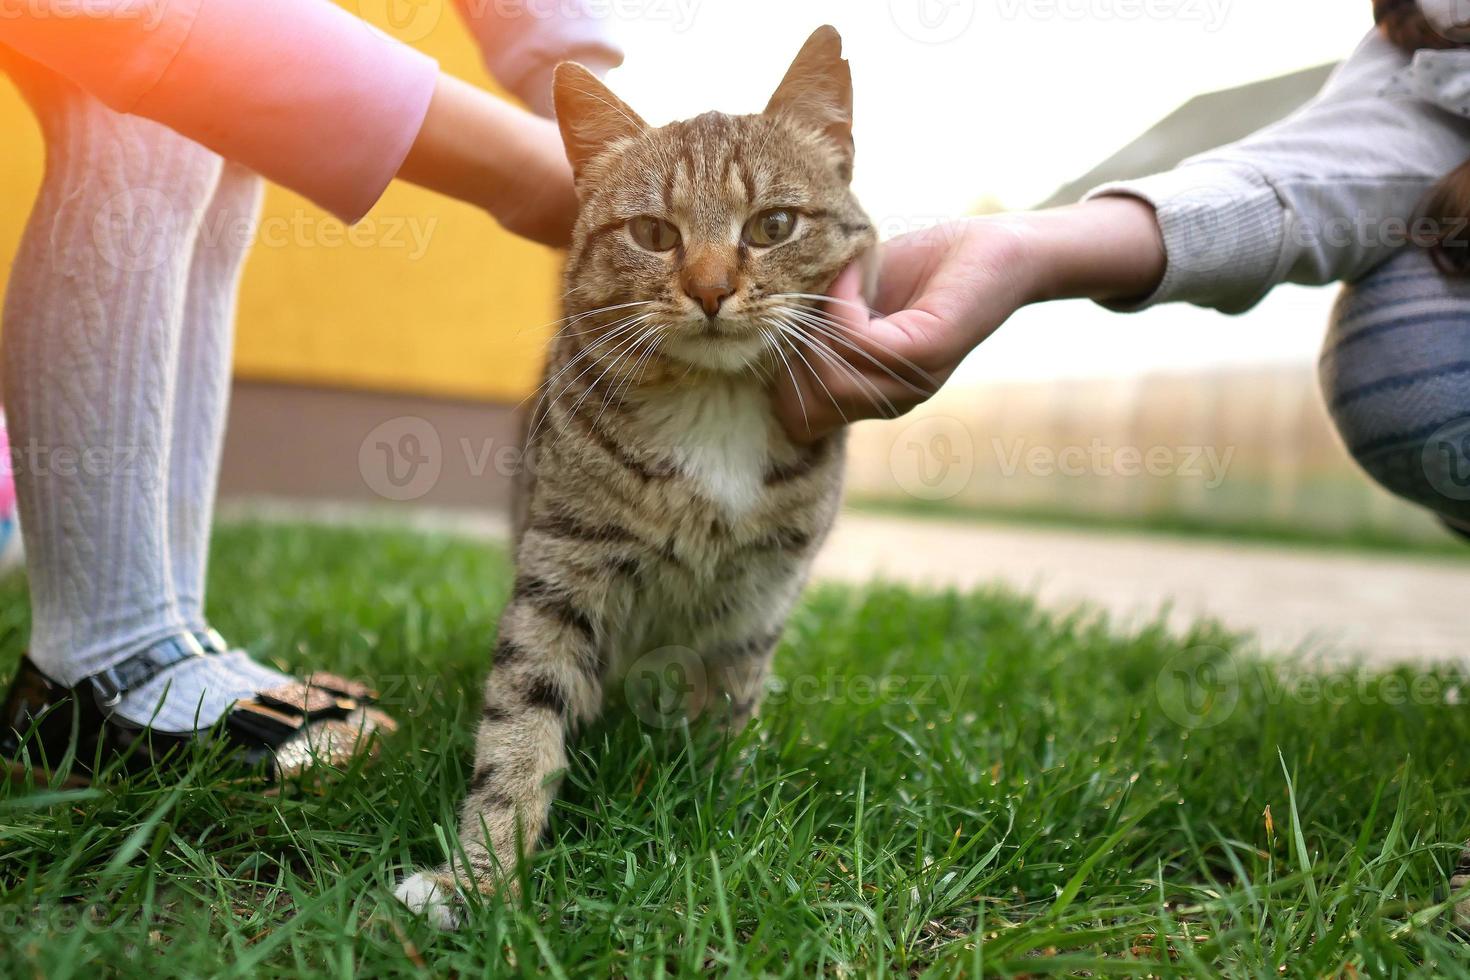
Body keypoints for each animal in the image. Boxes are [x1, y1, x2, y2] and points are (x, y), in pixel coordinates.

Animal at [396, 24, 876, 928]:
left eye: (774, 224)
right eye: (653, 234)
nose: (712, 289)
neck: (714, 406)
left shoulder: (758, 597)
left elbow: (727, 711)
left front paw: (716, 814)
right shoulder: (563, 566)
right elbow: (520, 724)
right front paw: (480, 878)